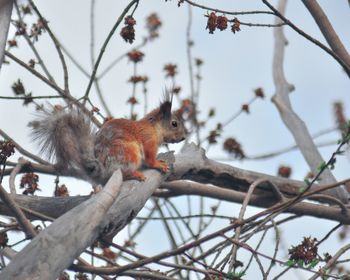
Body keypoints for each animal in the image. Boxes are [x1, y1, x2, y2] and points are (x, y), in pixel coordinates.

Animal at [30, 97, 186, 185]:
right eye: (174, 124)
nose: (183, 137)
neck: (153, 128)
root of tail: (101, 168)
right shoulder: (148, 140)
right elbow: (150, 159)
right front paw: (158, 164)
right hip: (129, 153)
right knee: (122, 171)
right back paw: (134, 174)